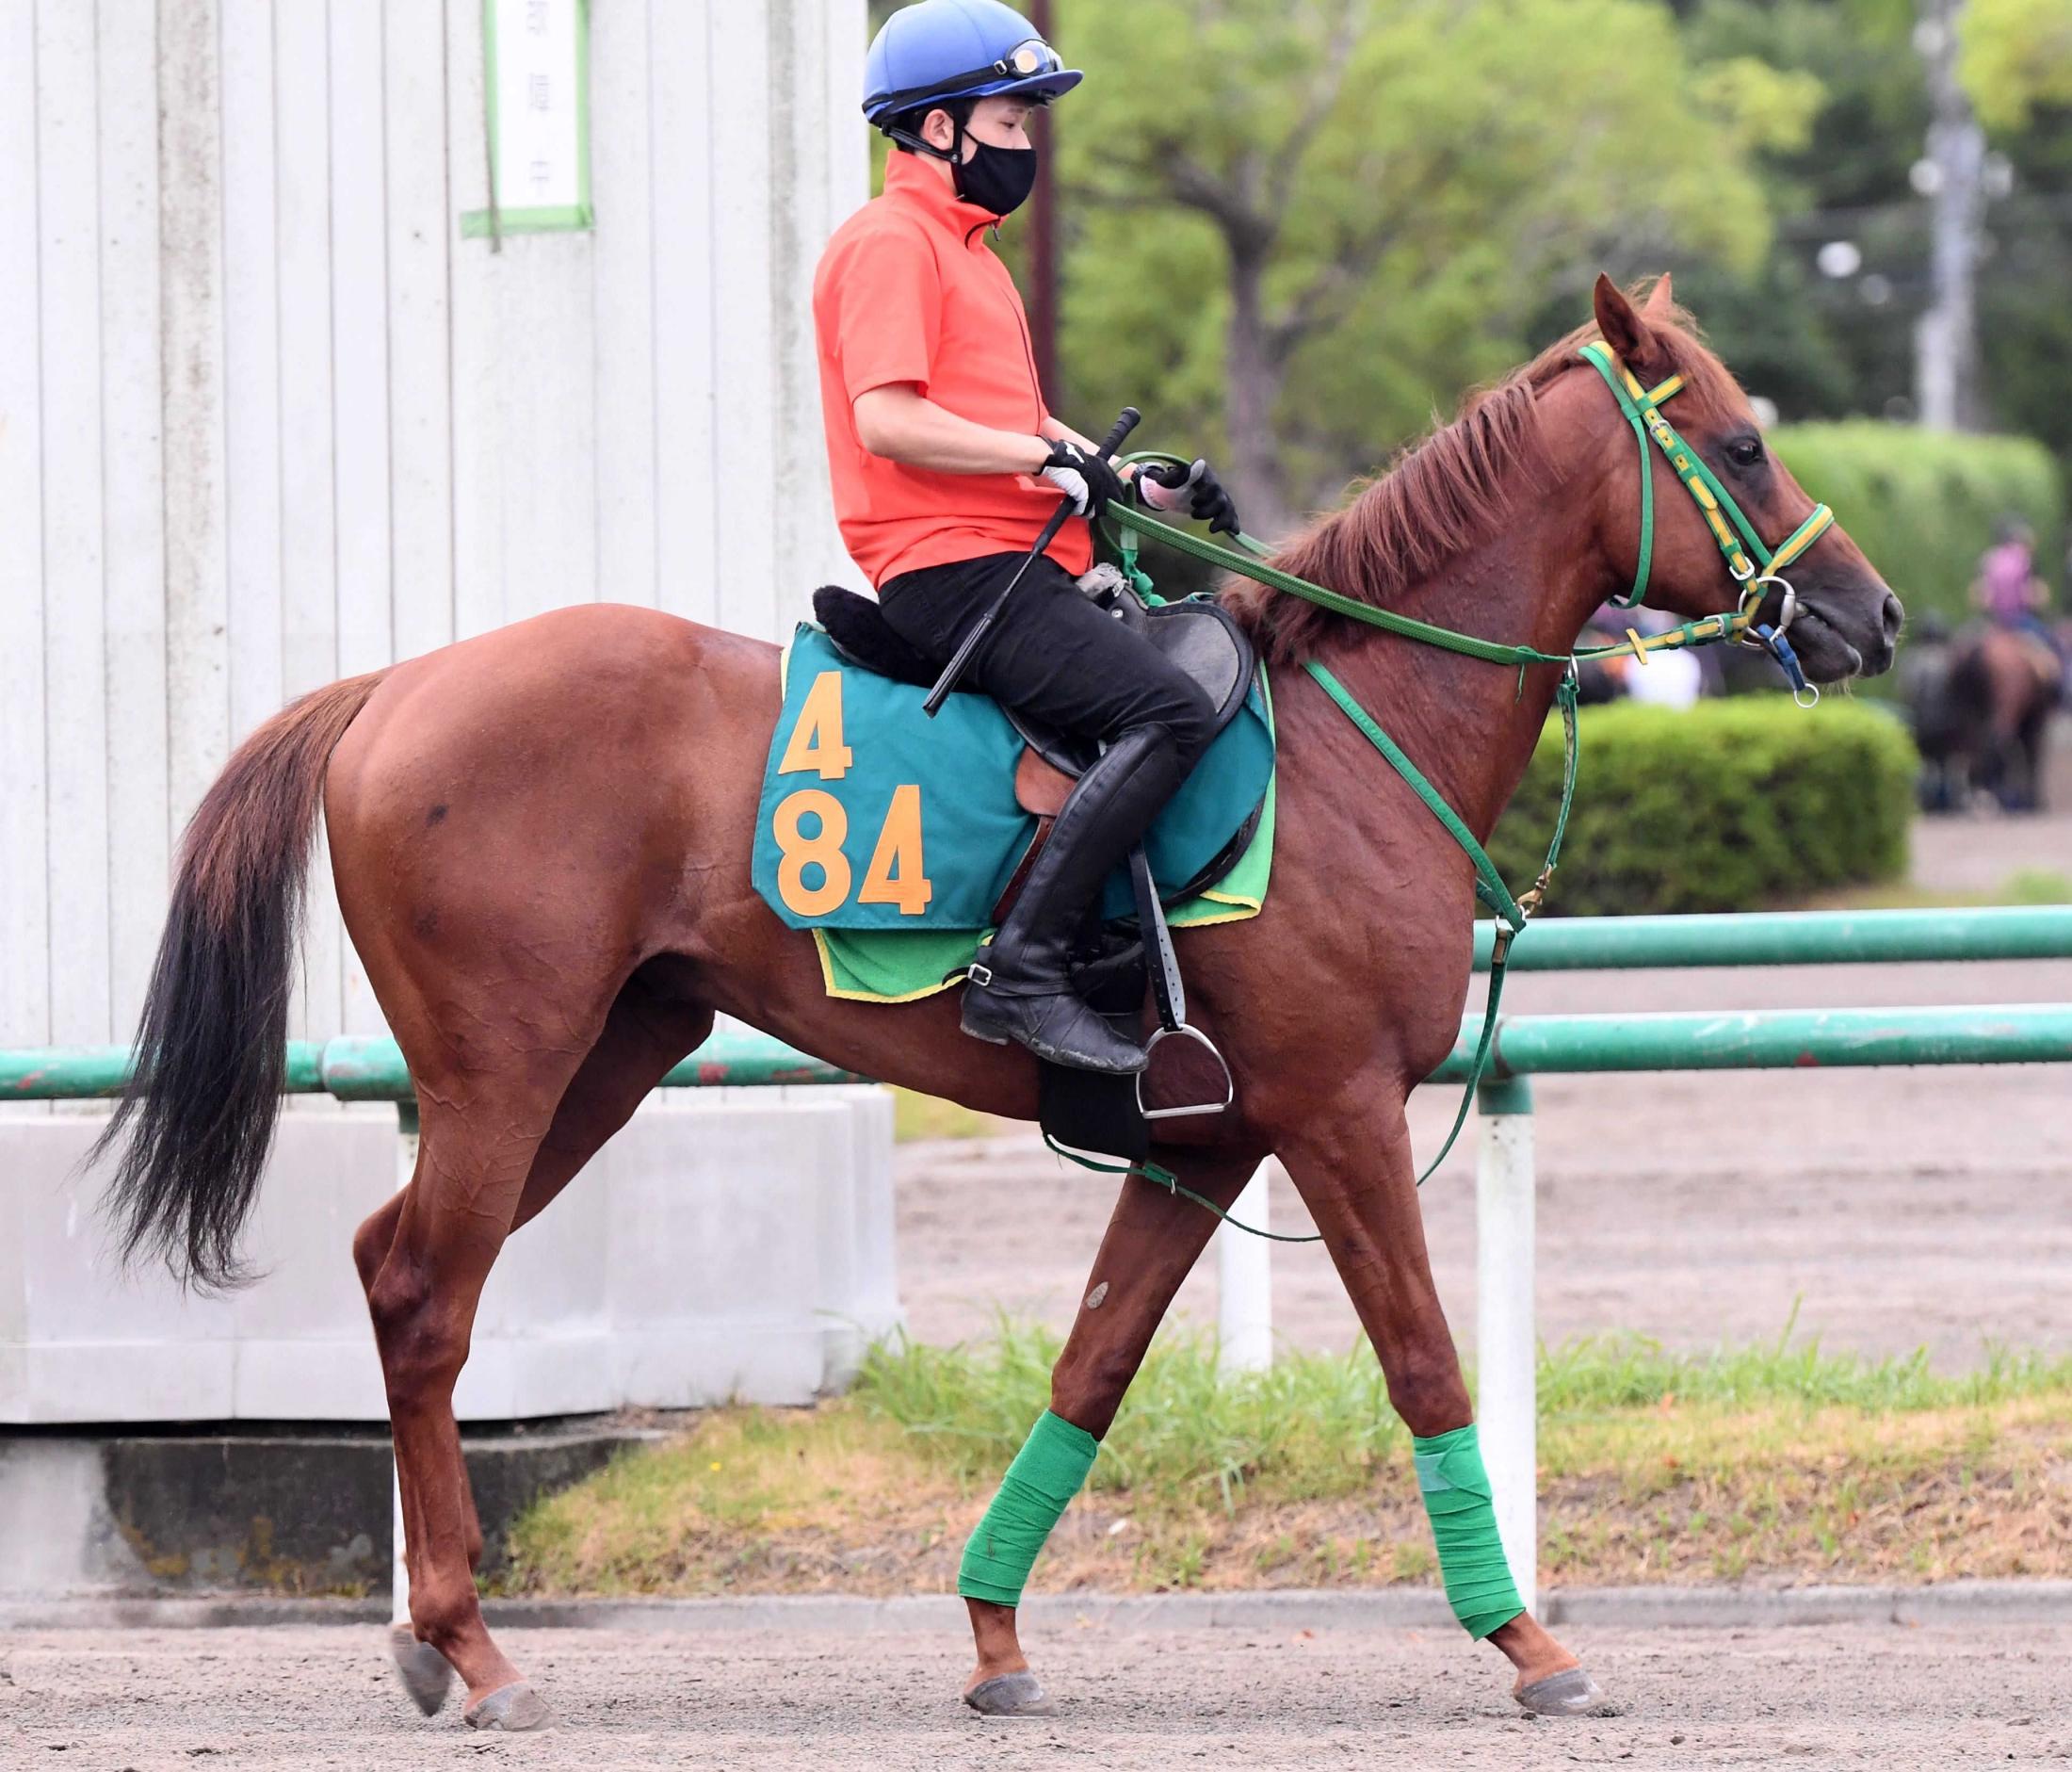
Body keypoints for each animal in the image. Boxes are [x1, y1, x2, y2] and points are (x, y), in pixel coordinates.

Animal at [101, 277, 1906, 1732]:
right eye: (1744, 443)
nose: (1874, 614)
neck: (1349, 746)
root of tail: (393, 688)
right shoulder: (1337, 1114)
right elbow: (1424, 1363)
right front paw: (1529, 1643)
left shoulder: (1204, 1138)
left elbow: (1092, 1368)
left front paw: (991, 1632)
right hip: (507, 1064)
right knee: (426, 1293)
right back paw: (471, 1649)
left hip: (610, 1056)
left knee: (391, 1266)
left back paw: (428, 1630)